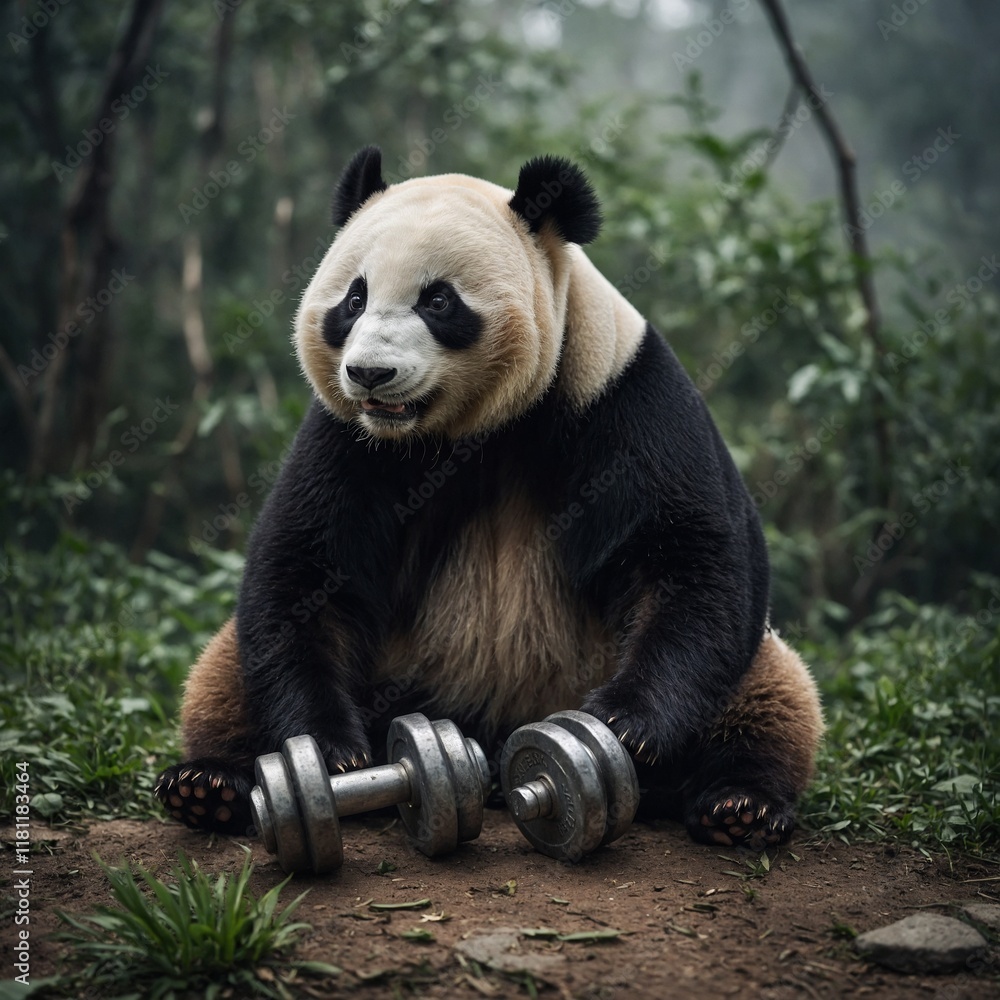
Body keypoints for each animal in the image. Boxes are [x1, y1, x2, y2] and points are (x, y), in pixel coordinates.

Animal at [155, 146, 823, 851]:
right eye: (354, 298)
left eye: (438, 300)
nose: (369, 374)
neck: (473, 430)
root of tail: (490, 743)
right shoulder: (348, 441)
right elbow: (305, 572)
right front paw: (336, 755)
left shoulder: (623, 396)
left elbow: (691, 560)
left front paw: (625, 724)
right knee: (226, 666)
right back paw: (210, 787)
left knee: (771, 688)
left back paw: (739, 805)